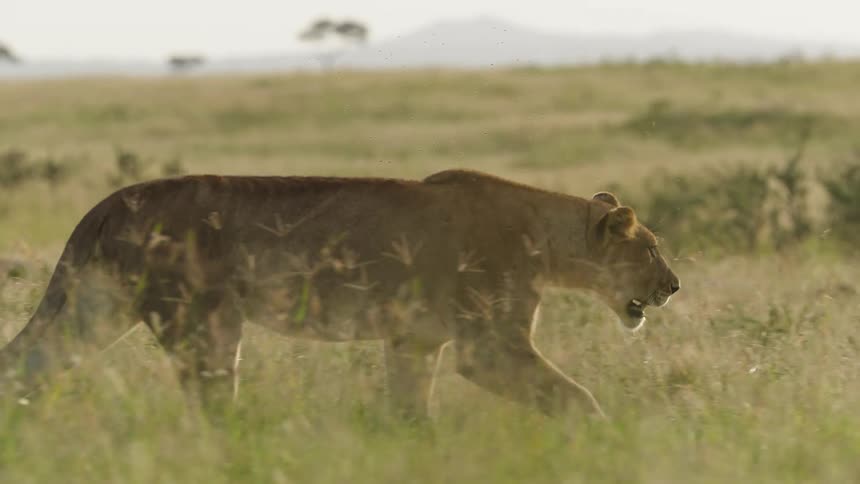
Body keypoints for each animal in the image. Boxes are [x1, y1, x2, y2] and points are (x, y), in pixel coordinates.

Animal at [0, 169, 679, 419]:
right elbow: (573, 397)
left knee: (25, 361)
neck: (546, 234)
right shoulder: (487, 346)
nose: (674, 286)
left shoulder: (413, 341)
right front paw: (602, 436)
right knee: (214, 404)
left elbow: (410, 408)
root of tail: (110, 201)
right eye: (649, 249)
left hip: (93, 310)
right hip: (203, 321)